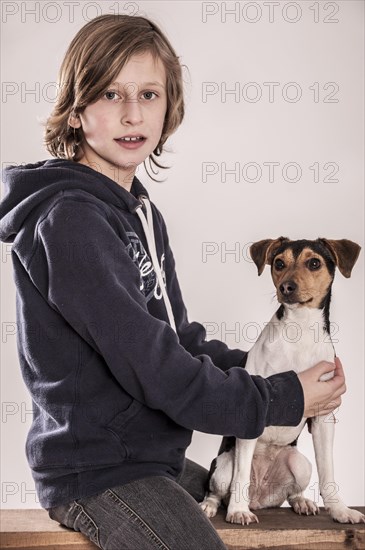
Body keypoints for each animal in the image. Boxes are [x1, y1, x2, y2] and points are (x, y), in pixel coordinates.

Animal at [200, 237, 362, 528]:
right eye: (278, 263)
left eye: (314, 263)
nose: (286, 287)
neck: (300, 330)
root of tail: (260, 497)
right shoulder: (252, 409)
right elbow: (240, 476)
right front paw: (238, 511)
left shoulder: (324, 418)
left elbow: (328, 471)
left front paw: (339, 510)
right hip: (223, 465)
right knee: (218, 489)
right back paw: (212, 505)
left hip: (300, 463)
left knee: (294, 490)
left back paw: (303, 502)